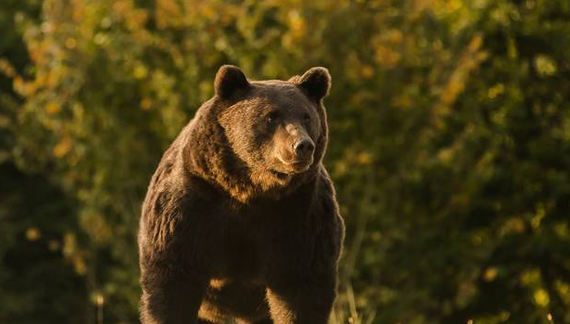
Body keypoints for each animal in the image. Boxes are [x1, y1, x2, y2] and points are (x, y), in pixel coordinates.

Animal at [139, 64, 342, 322]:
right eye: (271, 116)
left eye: (306, 116)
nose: (303, 145)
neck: (250, 190)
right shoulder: (191, 207)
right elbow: (171, 285)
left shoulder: (299, 215)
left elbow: (302, 289)